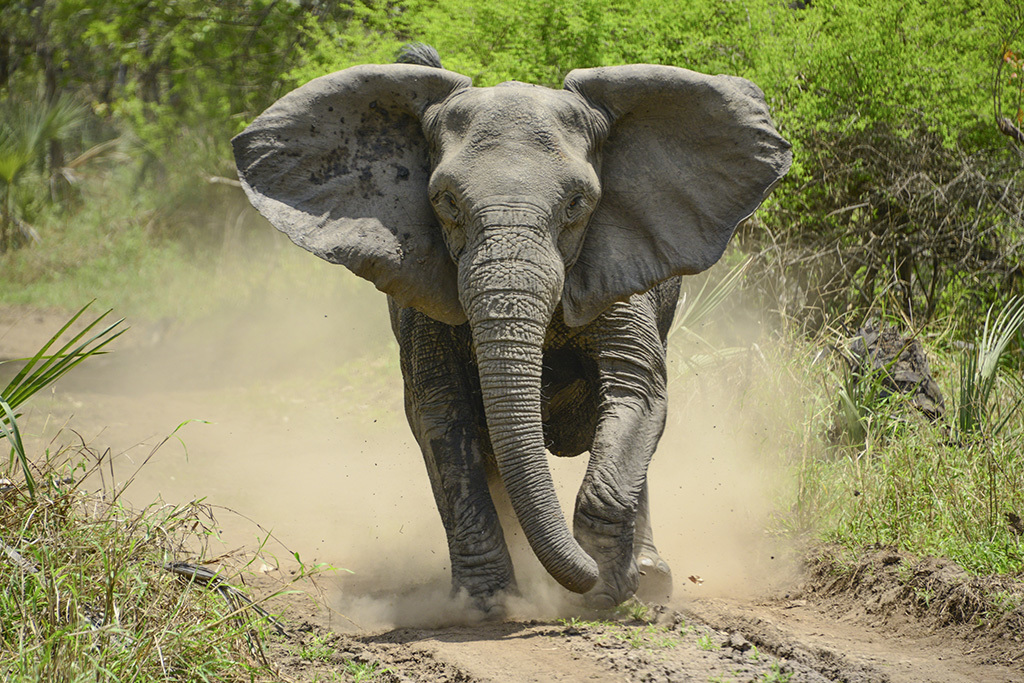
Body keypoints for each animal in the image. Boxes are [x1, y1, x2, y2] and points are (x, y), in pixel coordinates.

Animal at [234, 45, 790, 614]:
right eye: (446, 201)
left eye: (577, 203)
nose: (585, 577)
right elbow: (441, 413)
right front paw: (486, 603)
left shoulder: (618, 263)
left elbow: (636, 389)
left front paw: (606, 593)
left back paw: (650, 578)